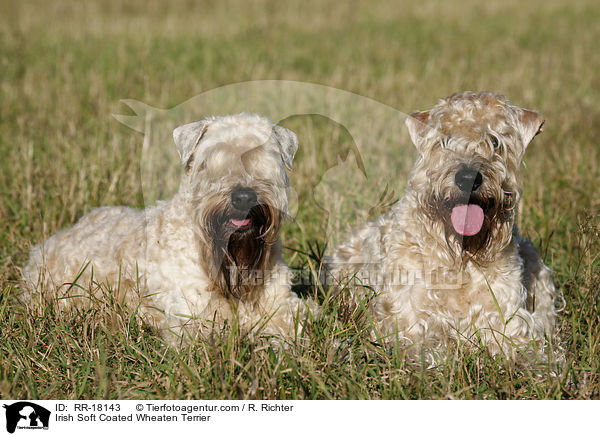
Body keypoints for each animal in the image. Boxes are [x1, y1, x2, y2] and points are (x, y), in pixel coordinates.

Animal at [328, 93, 556, 362]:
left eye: (495, 141)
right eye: (444, 141)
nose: (467, 178)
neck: (461, 254)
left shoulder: (506, 319)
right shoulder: (406, 325)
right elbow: (433, 351)